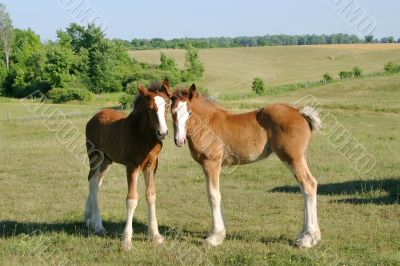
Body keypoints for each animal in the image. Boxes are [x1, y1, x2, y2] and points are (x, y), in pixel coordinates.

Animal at [84, 80, 172, 250]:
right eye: (150, 108)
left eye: (168, 105)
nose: (162, 133)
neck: (143, 136)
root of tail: (93, 118)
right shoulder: (132, 166)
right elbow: (132, 199)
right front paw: (126, 240)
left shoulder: (151, 166)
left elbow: (151, 195)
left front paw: (156, 235)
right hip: (95, 156)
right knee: (93, 182)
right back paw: (98, 225)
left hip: (107, 160)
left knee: (96, 181)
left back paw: (88, 219)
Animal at [171, 84, 322, 248]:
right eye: (172, 112)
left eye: (189, 112)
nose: (179, 140)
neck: (206, 124)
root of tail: (300, 112)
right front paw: (221, 233)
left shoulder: (211, 164)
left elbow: (213, 195)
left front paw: (214, 236)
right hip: (299, 158)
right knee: (306, 187)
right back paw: (305, 235)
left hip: (292, 158)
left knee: (308, 184)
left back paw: (308, 239)